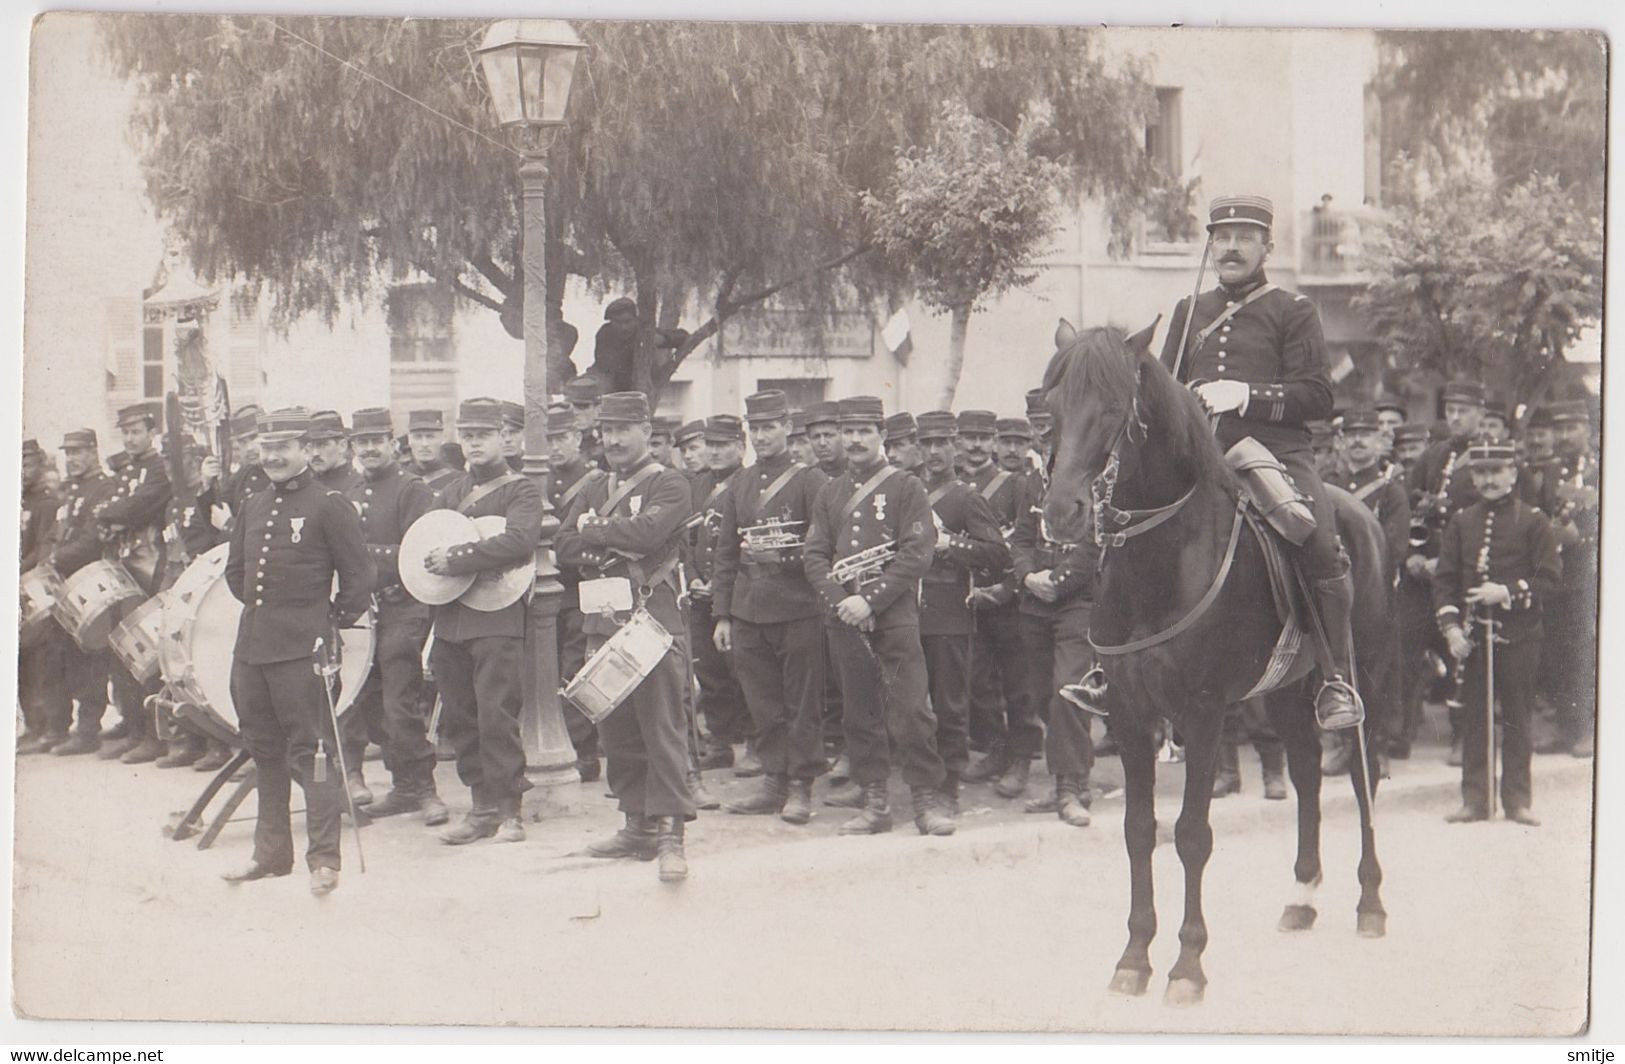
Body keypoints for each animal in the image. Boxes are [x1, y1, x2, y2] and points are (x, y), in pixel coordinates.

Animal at [1040, 323, 1384, 1007]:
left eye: (1113, 408)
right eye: (1052, 406)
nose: (1061, 512)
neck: (1159, 563)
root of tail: (1356, 506)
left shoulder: (1201, 714)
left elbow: (1191, 835)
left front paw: (1187, 964)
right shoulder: (1130, 715)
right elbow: (1139, 830)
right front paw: (1134, 957)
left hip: (1365, 676)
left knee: (1363, 775)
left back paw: (1370, 902)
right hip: (1287, 688)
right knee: (1307, 771)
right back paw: (1302, 895)